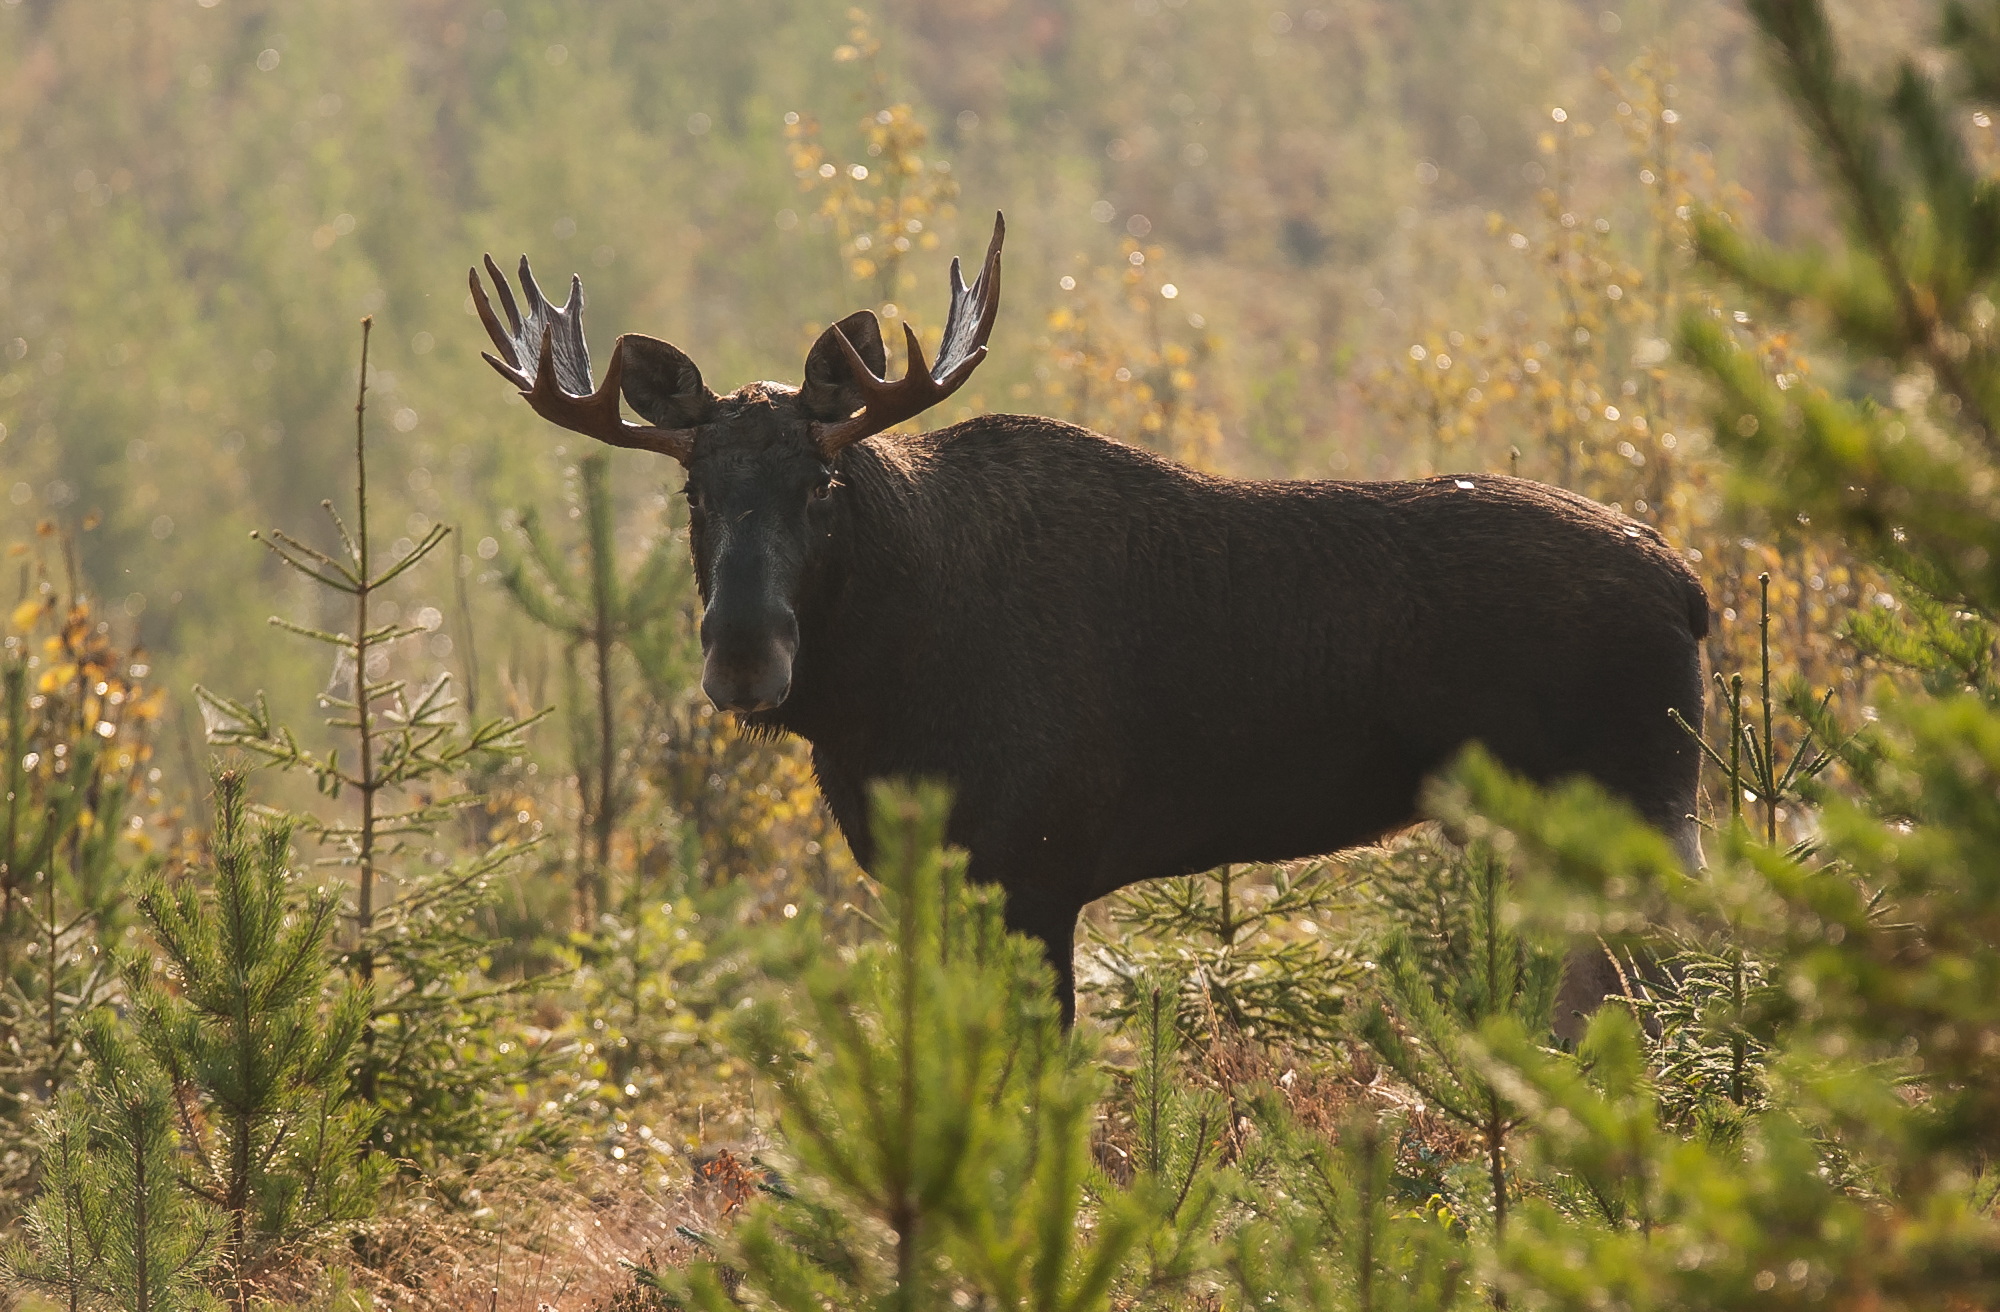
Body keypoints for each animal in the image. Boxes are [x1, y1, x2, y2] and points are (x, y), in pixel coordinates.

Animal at [472, 213, 1704, 1024]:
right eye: (692, 492)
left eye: (821, 486)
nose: (742, 656)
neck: (876, 703)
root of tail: (1691, 590)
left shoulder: (1035, 870)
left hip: (1638, 809)